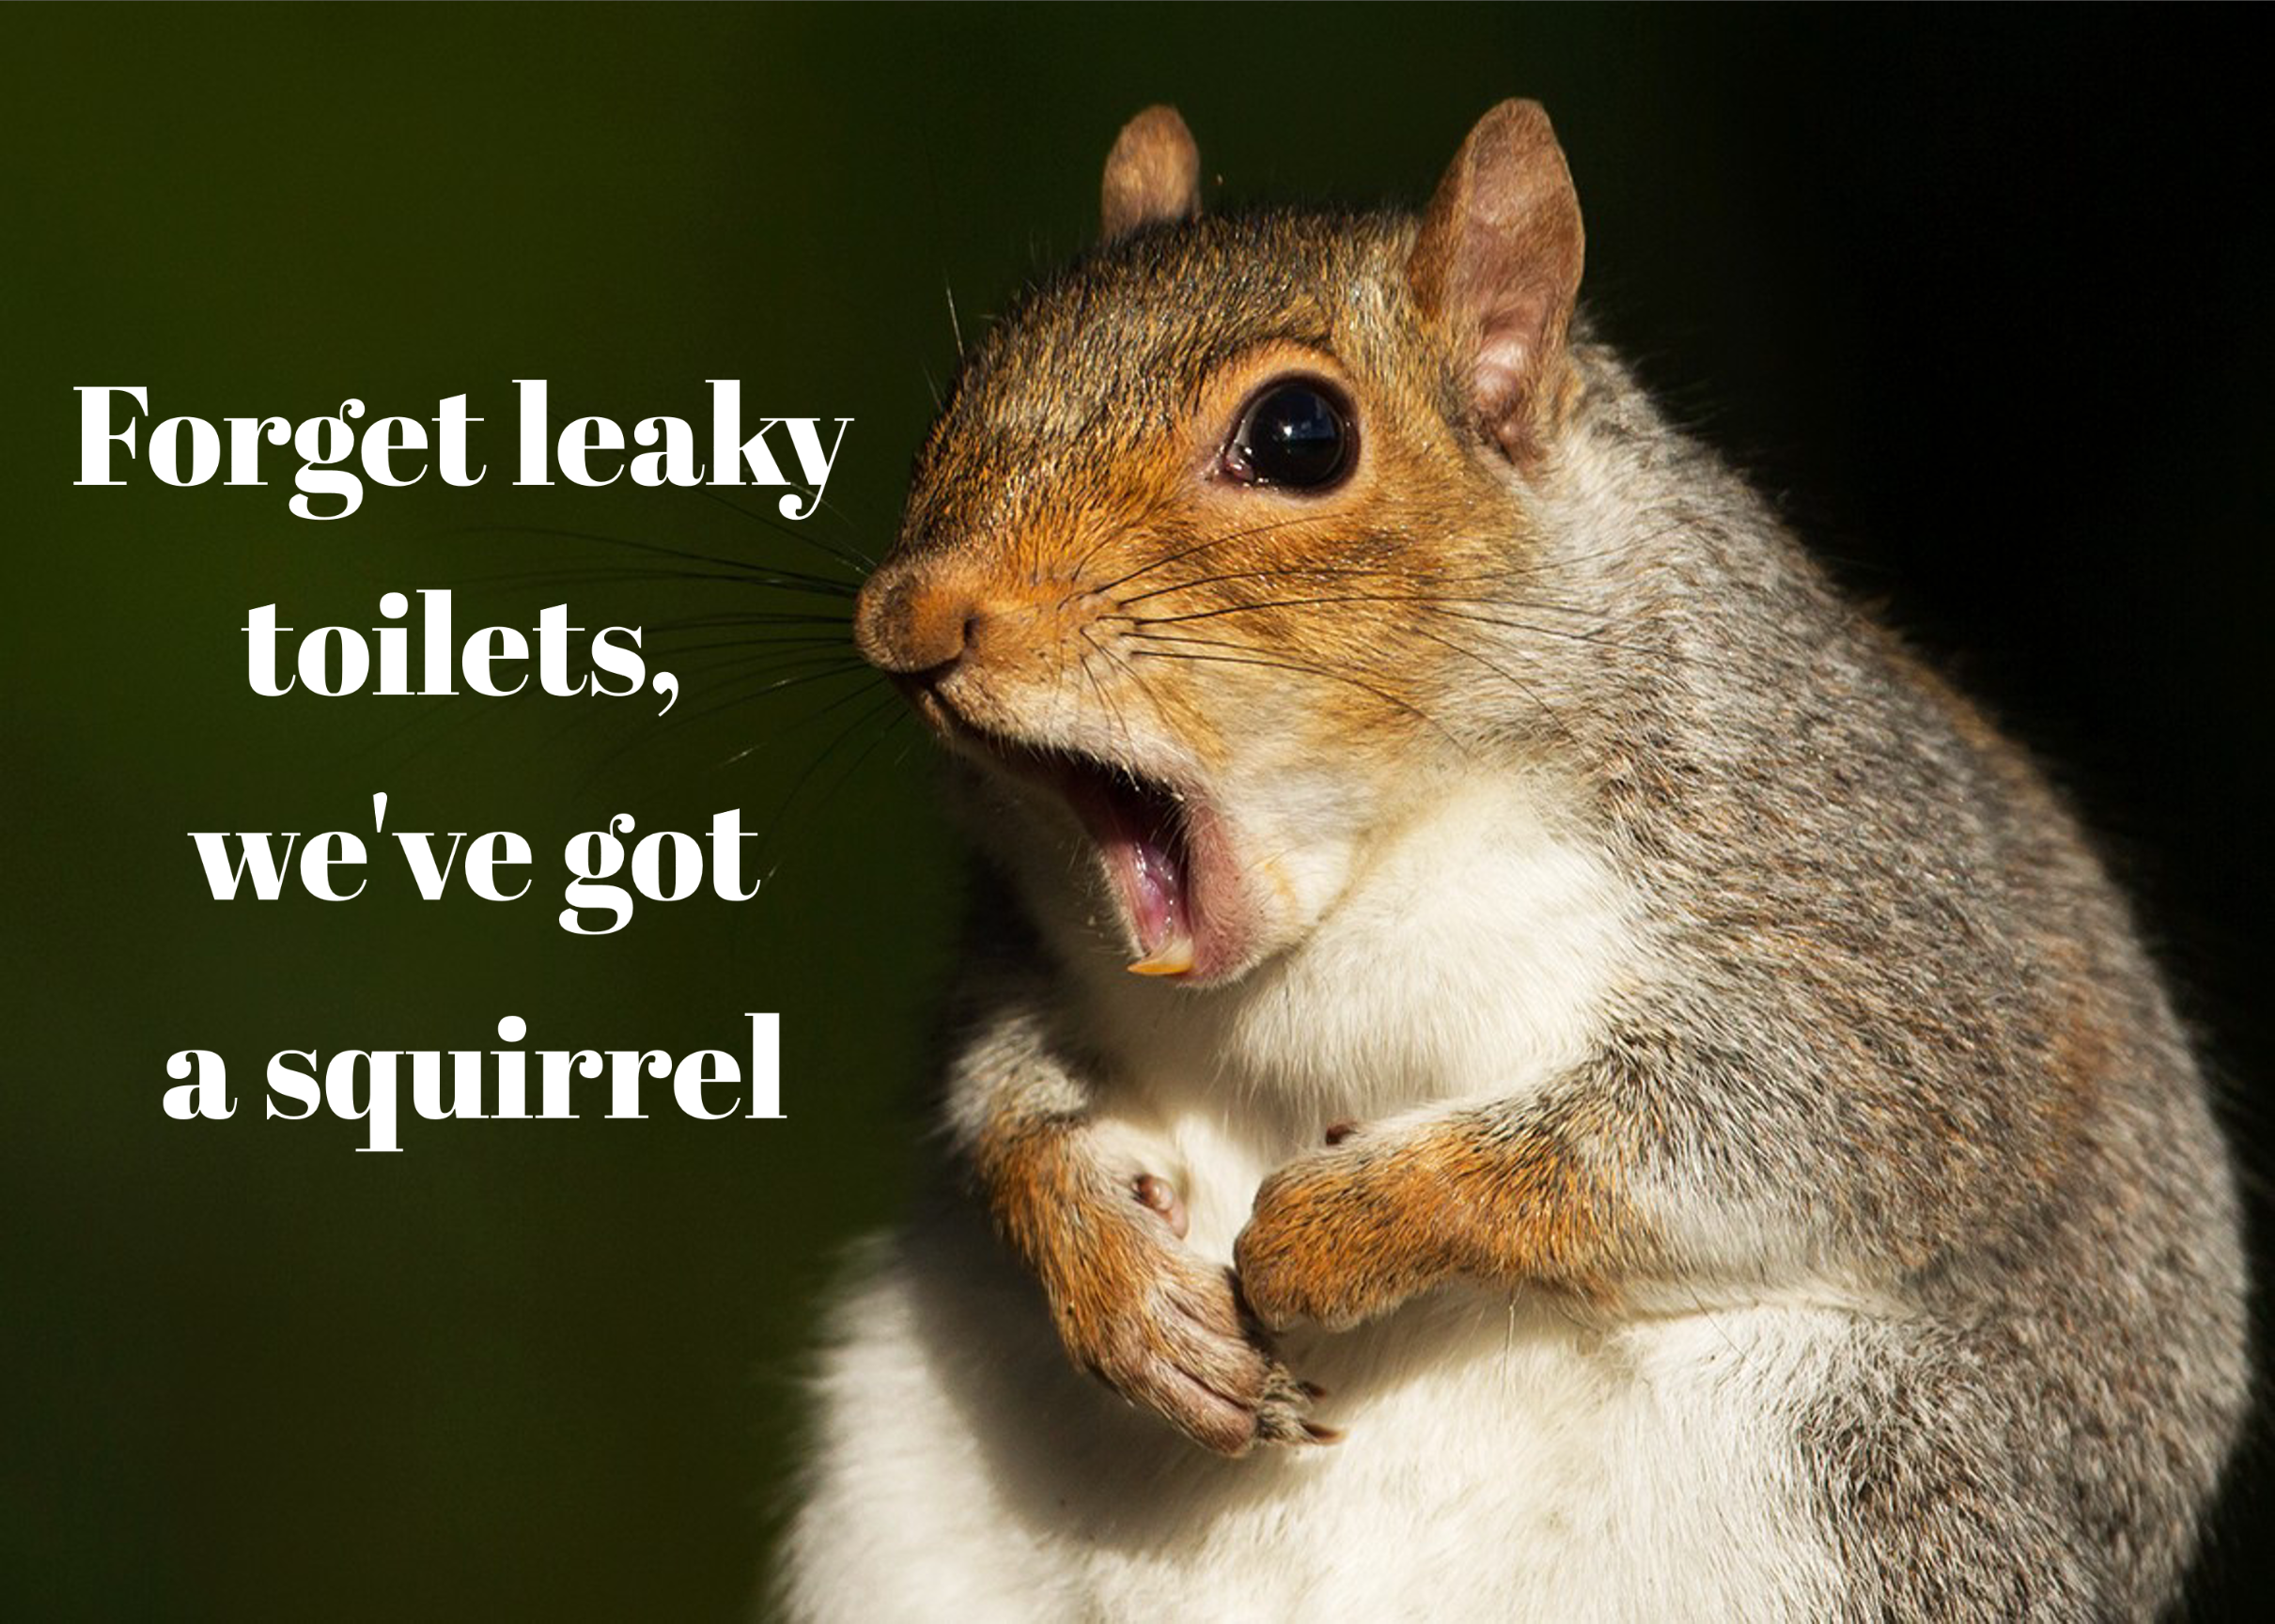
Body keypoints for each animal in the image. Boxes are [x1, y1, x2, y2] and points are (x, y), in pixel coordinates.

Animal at [777, 102, 2249, 1621]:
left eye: (1300, 434)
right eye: (972, 378)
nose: (907, 618)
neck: (1362, 882)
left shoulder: (1861, 918)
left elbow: (1762, 1132)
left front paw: (1336, 1229)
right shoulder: (1021, 944)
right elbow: (1005, 1095)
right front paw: (1116, 1280)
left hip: (1870, 1480)